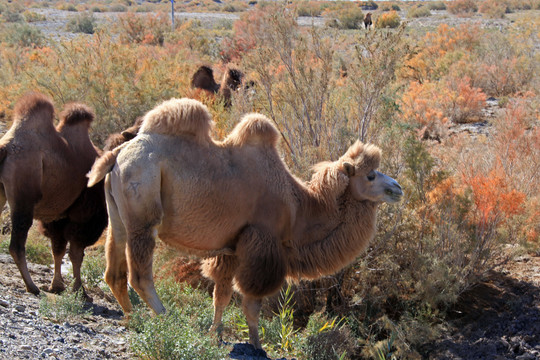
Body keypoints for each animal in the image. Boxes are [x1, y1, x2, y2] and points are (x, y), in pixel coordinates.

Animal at [0, 92, 108, 296]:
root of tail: (5, 149)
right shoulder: (83, 217)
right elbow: (76, 253)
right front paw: (80, 291)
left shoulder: (58, 217)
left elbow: (58, 250)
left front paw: (57, 286)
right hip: (24, 197)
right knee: (17, 245)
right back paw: (32, 286)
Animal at [87, 97, 400, 350]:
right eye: (370, 175)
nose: (397, 188)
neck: (298, 208)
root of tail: (117, 154)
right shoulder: (262, 244)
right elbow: (252, 303)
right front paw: (257, 345)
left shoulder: (232, 248)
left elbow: (222, 296)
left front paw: (214, 335)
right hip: (144, 211)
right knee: (140, 275)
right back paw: (166, 320)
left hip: (118, 215)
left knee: (113, 271)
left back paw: (133, 319)